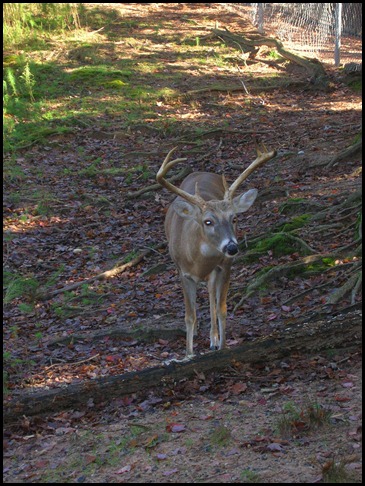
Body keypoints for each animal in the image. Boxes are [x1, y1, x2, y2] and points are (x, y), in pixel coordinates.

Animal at [155, 145, 274, 356]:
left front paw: (223, 345)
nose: (232, 247)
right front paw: (189, 353)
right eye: (208, 221)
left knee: (211, 295)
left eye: (234, 218)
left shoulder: (224, 266)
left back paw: (214, 339)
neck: (196, 262)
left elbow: (221, 308)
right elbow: (189, 315)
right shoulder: (182, 272)